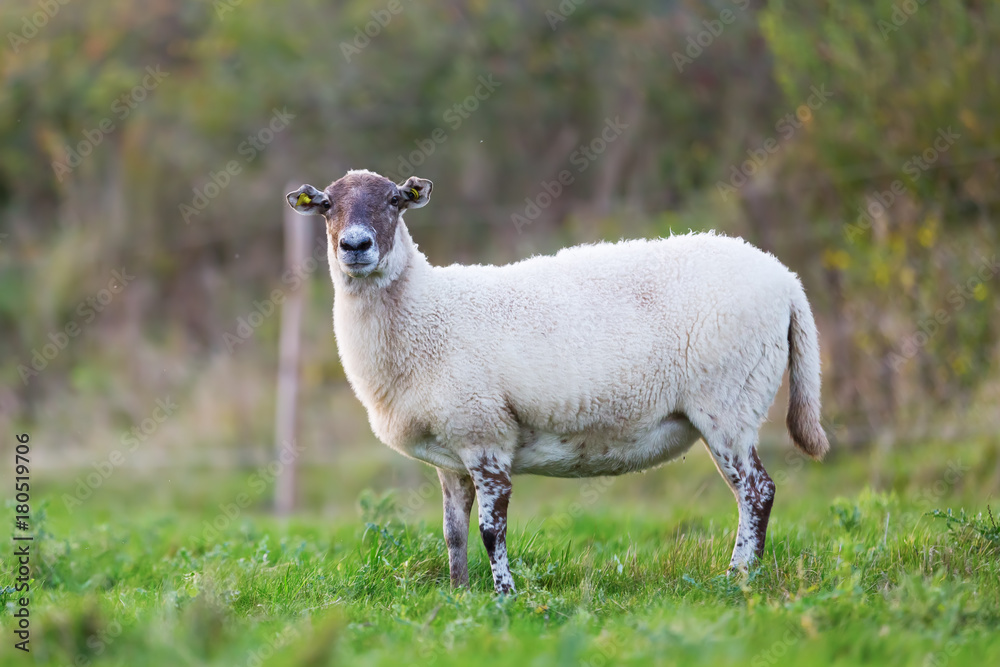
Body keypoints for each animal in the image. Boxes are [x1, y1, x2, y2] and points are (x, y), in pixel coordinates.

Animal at [286, 168, 829, 594]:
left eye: (395, 201)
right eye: (327, 206)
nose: (356, 246)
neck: (427, 312)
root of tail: (787, 282)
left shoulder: (486, 434)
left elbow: (491, 531)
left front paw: (505, 596)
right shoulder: (452, 455)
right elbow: (453, 532)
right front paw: (459, 594)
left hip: (729, 401)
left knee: (757, 493)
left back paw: (739, 578)